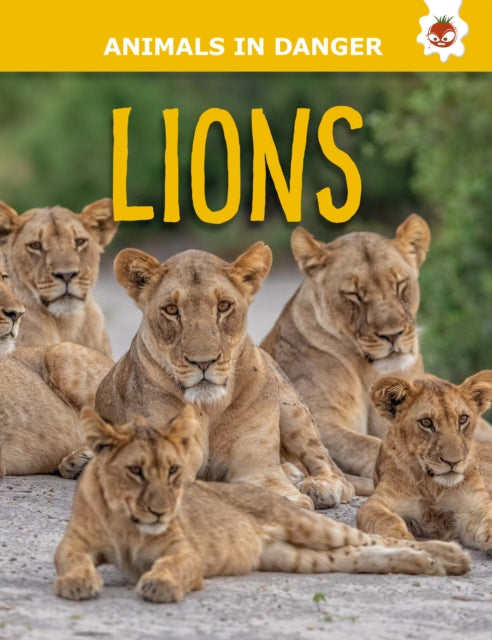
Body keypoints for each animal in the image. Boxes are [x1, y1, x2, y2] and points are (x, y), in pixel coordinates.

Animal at [54, 405, 470, 603]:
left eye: (173, 470)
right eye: (136, 471)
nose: (162, 509)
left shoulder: (186, 552)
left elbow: (173, 566)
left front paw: (159, 584)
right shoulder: (72, 546)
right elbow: (71, 562)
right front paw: (77, 582)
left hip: (305, 525)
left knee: (379, 539)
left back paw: (450, 556)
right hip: (295, 557)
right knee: (363, 554)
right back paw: (429, 565)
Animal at [95, 242, 355, 510]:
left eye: (223, 306)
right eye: (171, 310)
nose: (203, 362)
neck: (211, 407)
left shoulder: (258, 469)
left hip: (293, 408)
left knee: (334, 470)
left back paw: (321, 486)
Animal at [261, 215, 432, 494]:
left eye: (400, 284)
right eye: (354, 295)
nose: (392, 335)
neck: (369, 371)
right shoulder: (321, 417)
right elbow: (369, 444)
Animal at [357, 372, 492, 551]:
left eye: (463, 419)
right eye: (426, 422)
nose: (453, 461)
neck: (433, 487)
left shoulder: (474, 507)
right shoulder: (377, 502)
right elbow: (386, 519)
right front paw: (403, 540)